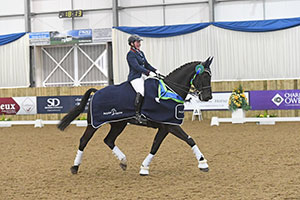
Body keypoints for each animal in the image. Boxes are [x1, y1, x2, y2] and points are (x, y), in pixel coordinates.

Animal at [58, 57, 213, 176]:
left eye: (209, 76)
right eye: (203, 76)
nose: (208, 97)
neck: (169, 90)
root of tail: (96, 92)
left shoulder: (165, 127)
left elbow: (155, 146)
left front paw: (144, 168)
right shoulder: (171, 126)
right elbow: (190, 140)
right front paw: (203, 163)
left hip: (118, 124)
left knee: (109, 140)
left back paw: (123, 162)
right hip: (94, 124)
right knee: (84, 141)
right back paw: (75, 167)